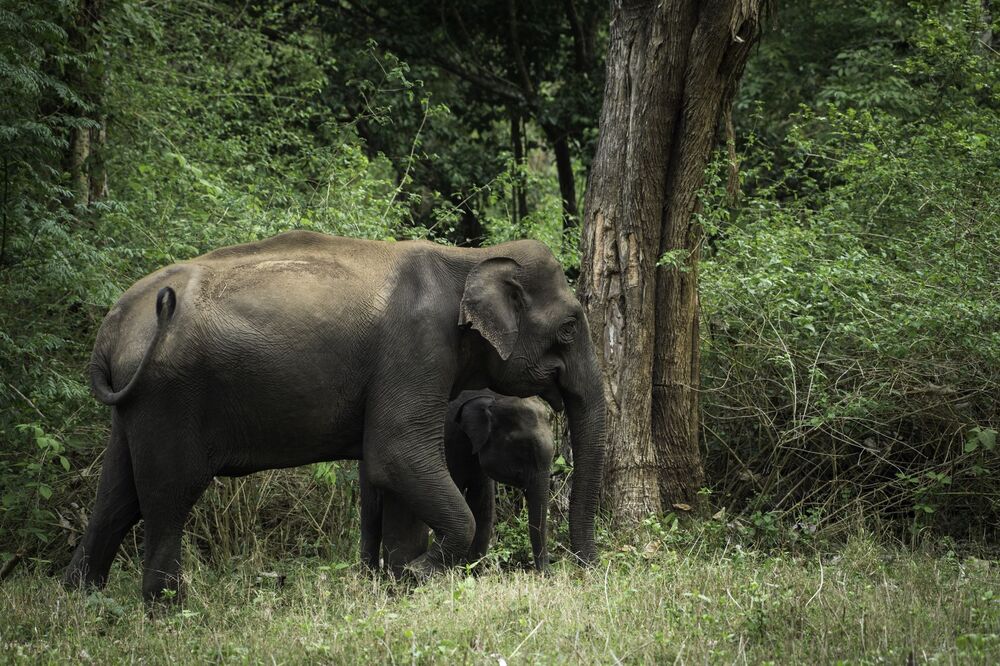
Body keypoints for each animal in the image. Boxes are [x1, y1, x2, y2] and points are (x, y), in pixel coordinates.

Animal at [360, 390, 555, 576]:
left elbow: (483, 505)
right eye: (524, 448)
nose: (545, 574)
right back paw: (370, 576)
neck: (494, 396)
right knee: (371, 515)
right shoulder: (448, 441)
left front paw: (471, 573)